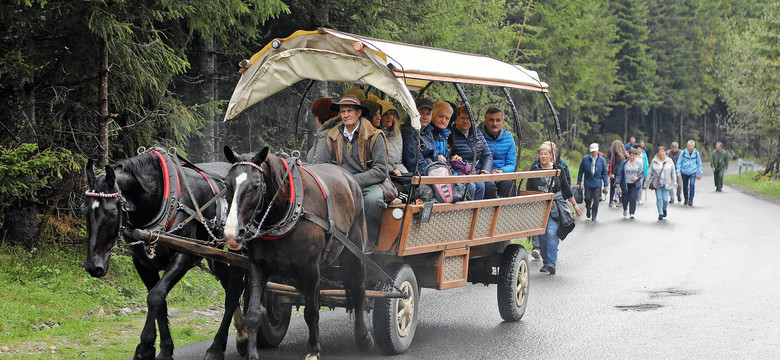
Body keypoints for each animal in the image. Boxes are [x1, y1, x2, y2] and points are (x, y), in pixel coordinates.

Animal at [82, 152, 248, 360]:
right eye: (84, 210)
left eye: (112, 212)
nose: (93, 266)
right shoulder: (142, 263)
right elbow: (159, 303)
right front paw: (164, 349)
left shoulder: (183, 256)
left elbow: (155, 296)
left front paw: (145, 345)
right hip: (214, 254)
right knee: (228, 285)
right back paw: (242, 334)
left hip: (236, 248)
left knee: (233, 291)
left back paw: (217, 348)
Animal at [213, 146, 372, 360]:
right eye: (227, 183)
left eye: (255, 186)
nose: (231, 232)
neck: (282, 214)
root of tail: (349, 177)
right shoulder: (257, 266)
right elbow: (254, 313)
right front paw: (251, 353)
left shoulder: (310, 269)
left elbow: (311, 312)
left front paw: (313, 351)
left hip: (354, 255)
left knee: (358, 290)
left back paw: (364, 337)